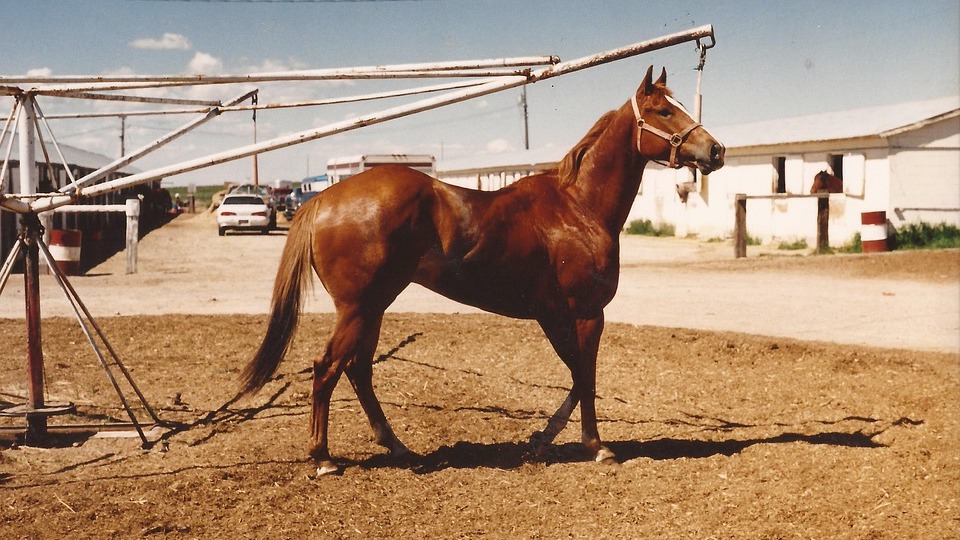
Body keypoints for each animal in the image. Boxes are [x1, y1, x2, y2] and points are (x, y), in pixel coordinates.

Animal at [242, 65, 728, 474]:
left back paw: (397, 447)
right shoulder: (588, 313)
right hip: (358, 308)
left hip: (373, 308)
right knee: (327, 368)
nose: (716, 150)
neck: (577, 207)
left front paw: (542, 438)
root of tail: (323, 199)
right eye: (664, 110)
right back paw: (323, 458)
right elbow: (587, 377)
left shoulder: (555, 316)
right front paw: (597, 447)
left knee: (358, 371)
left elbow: (576, 376)